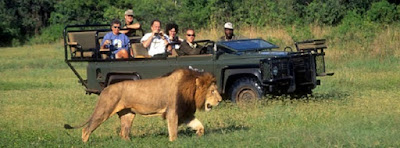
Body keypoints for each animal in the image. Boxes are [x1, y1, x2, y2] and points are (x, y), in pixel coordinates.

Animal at [64, 68, 223, 142]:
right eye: (213, 91)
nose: (220, 100)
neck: (189, 89)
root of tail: (105, 89)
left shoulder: (184, 113)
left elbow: (199, 125)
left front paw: (199, 134)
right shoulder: (173, 111)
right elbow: (173, 130)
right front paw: (174, 142)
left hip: (128, 114)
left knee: (123, 133)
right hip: (104, 110)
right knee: (86, 129)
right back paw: (85, 142)